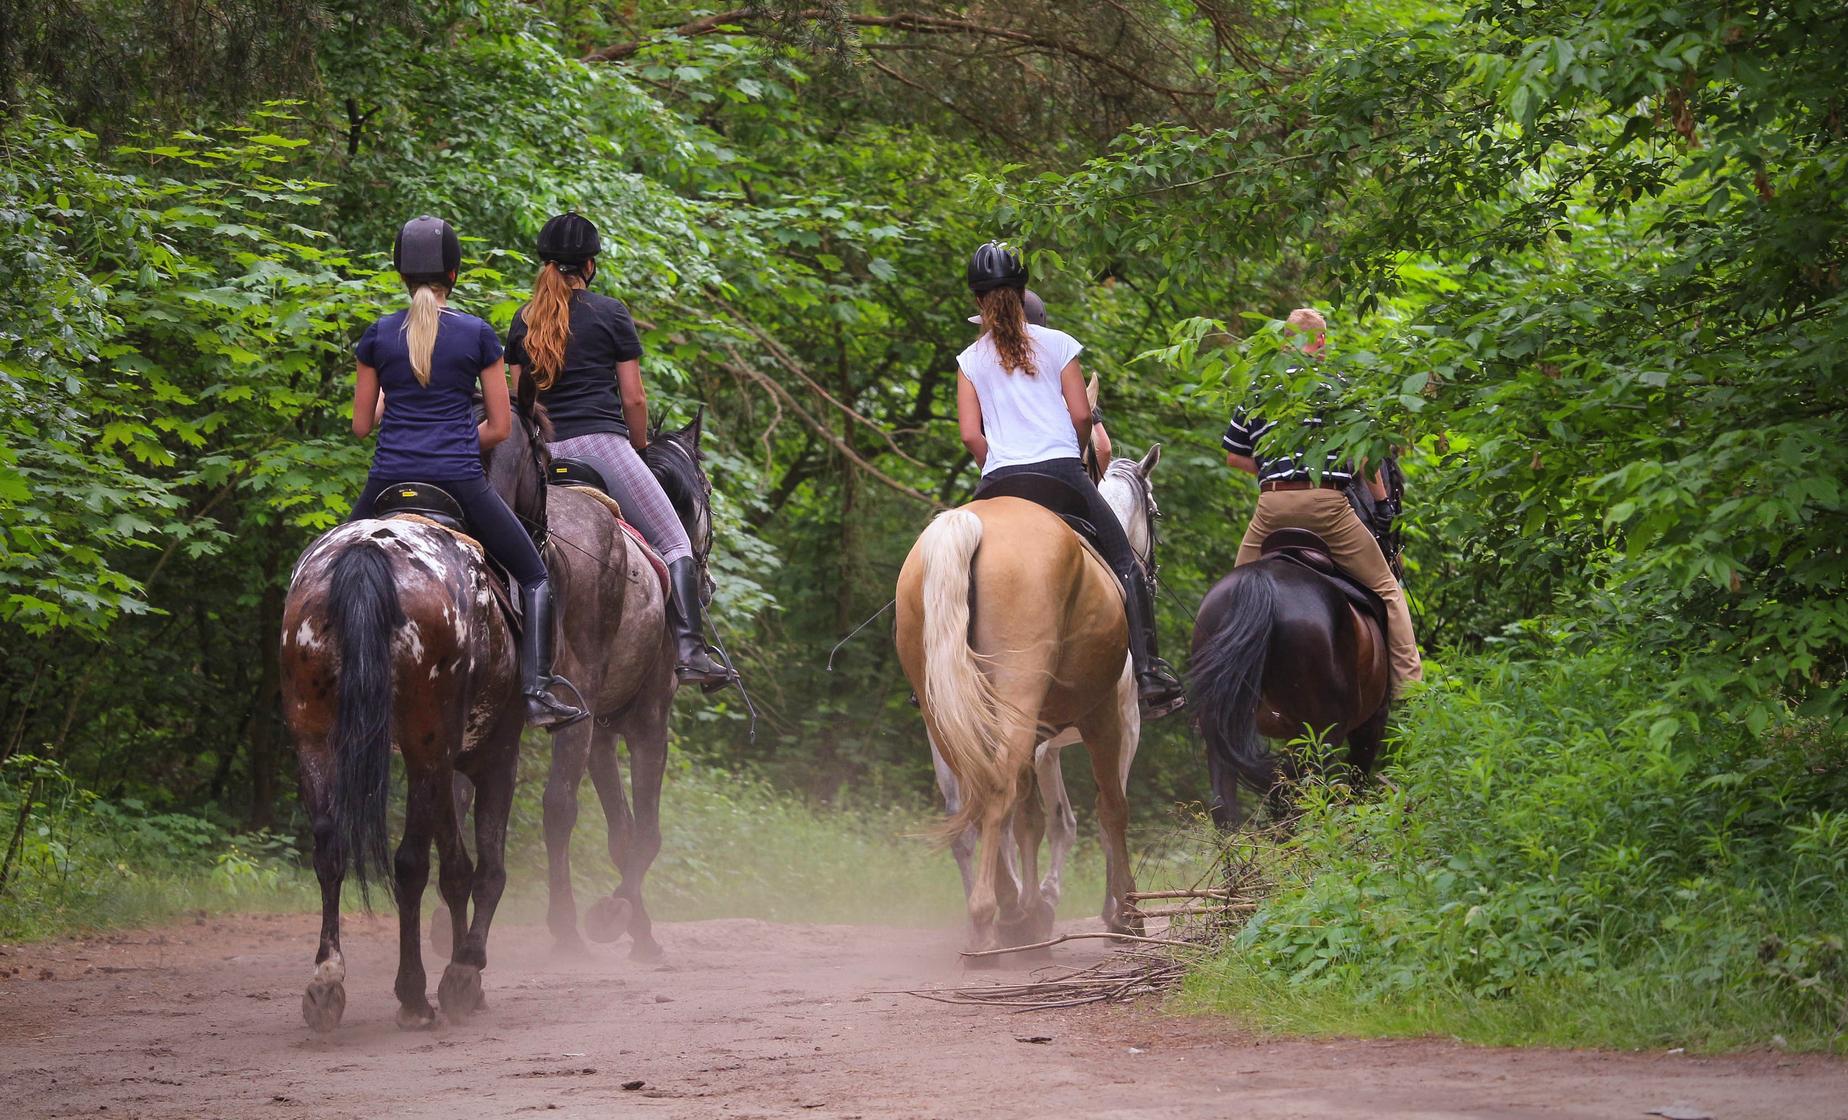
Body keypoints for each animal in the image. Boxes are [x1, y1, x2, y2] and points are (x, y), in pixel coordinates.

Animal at [277, 419, 543, 1034]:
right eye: (544, 455)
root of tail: (367, 552)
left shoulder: (443, 759)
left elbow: (458, 869)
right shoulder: (493, 753)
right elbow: (484, 868)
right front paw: (464, 973)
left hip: (319, 737)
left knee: (330, 847)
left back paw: (326, 983)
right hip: (426, 743)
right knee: (408, 863)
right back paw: (414, 994)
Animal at [894, 449, 1153, 953]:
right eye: (1155, 511)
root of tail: (967, 525)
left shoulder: (1043, 742)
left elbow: (1036, 819)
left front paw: (1036, 906)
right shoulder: (1118, 721)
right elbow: (1108, 810)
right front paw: (1121, 915)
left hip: (947, 717)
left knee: (974, 809)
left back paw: (1001, 911)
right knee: (1001, 794)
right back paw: (993, 918)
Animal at [1190, 543, 1389, 835]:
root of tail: (1259, 581)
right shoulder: (1370, 724)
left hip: (1220, 727)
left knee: (1224, 805)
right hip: (1322, 734)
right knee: (1302, 800)